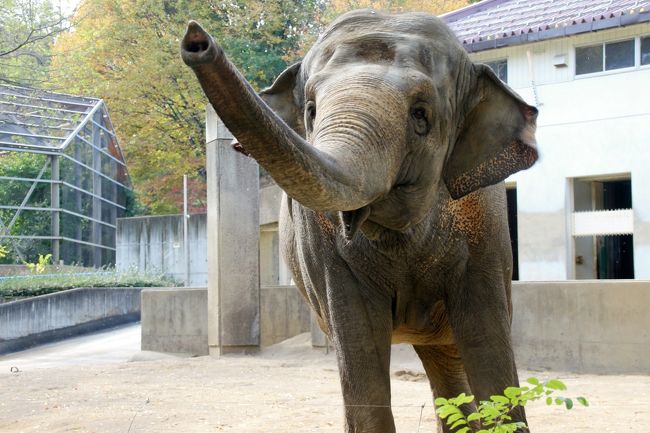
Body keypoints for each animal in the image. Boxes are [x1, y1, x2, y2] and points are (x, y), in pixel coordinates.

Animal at [181, 7, 536, 432]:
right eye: (311, 110)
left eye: (421, 115)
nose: (197, 40)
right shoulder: (325, 250)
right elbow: (359, 346)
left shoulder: (484, 227)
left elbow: (488, 342)